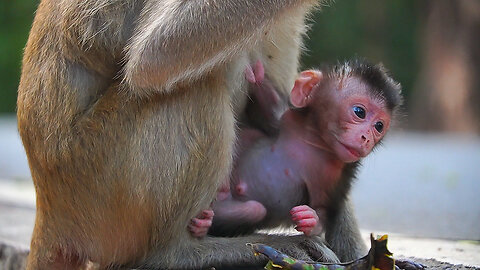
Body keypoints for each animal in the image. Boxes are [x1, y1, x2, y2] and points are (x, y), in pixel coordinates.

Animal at [188, 58, 402, 238]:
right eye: (359, 112)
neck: (316, 142)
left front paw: (311, 218)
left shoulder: (333, 174)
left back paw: (206, 222)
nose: (367, 138)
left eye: (379, 126)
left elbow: (323, 207)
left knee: (254, 210)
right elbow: (272, 111)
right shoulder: (288, 120)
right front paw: (257, 76)